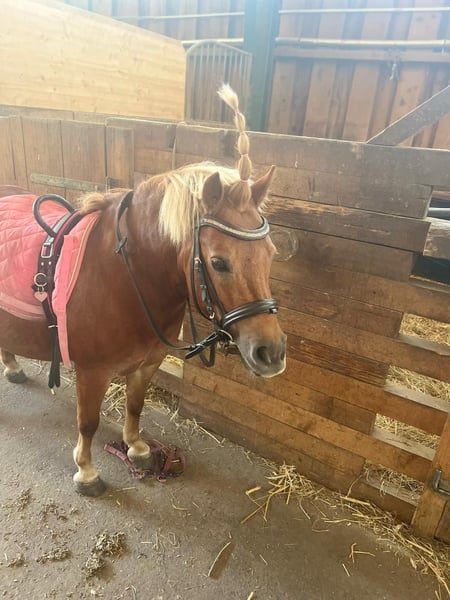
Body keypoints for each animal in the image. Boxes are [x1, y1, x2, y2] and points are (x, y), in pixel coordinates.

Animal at [0, 85, 286, 496]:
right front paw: (87, 471)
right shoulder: (92, 372)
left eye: (271, 253)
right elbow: (88, 422)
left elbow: (135, 406)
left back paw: (12, 367)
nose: (271, 353)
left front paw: (136, 448)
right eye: (218, 262)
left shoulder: (148, 363)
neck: (125, 279)